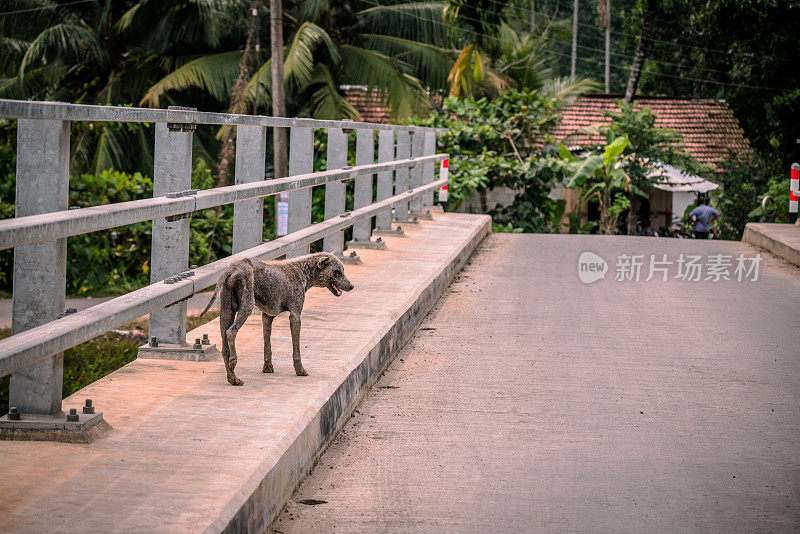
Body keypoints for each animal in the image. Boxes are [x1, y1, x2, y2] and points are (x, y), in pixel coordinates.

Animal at [200, 253, 354, 388]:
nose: (351, 286)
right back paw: (234, 361)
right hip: (246, 305)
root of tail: (232, 268)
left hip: (226, 312)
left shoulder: (267, 316)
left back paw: (233, 378)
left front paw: (268, 368)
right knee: (231, 332)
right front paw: (300, 370)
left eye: (342, 271)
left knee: (225, 346)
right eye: (337, 272)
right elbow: (296, 349)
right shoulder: (295, 316)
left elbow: (267, 346)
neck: (302, 271)